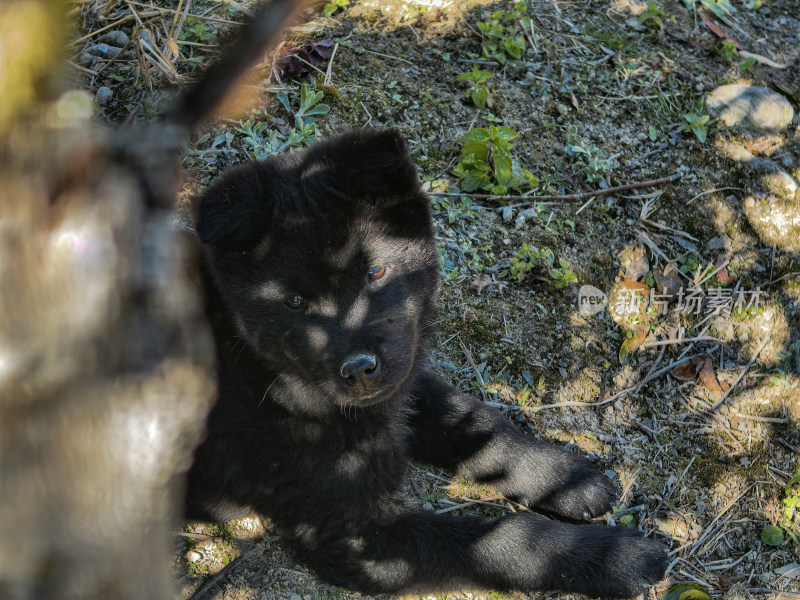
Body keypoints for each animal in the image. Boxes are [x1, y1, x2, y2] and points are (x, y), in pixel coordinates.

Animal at [189, 129, 668, 596]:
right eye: (293, 302)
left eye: (376, 272)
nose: (359, 369)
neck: (268, 375)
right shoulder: (357, 534)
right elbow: (505, 540)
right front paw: (612, 558)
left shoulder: (402, 374)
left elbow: (477, 422)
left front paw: (562, 478)